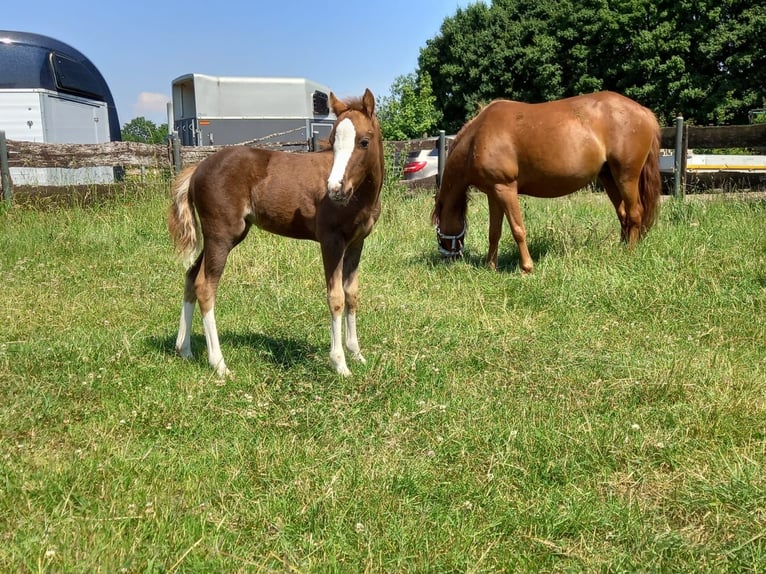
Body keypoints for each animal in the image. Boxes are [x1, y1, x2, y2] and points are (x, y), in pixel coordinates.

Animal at [169, 90, 384, 378]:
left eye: (363, 142)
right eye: (332, 141)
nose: (335, 189)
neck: (360, 197)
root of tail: (196, 170)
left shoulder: (356, 242)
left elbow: (352, 293)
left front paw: (357, 354)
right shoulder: (331, 241)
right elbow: (336, 297)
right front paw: (339, 363)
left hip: (227, 235)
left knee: (191, 275)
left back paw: (185, 349)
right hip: (220, 235)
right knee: (205, 285)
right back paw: (219, 364)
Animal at [436, 92, 664, 274]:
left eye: (438, 230)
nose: (447, 258)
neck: (478, 137)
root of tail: (644, 112)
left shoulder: (505, 188)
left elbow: (518, 229)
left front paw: (527, 268)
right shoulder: (494, 193)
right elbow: (494, 232)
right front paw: (490, 266)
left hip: (627, 176)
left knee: (634, 213)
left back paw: (629, 253)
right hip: (609, 178)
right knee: (623, 214)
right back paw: (619, 249)